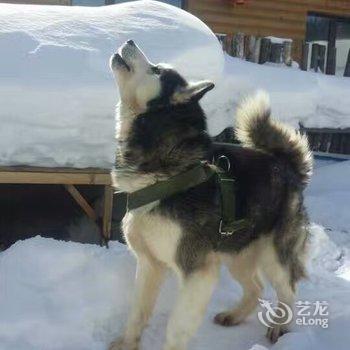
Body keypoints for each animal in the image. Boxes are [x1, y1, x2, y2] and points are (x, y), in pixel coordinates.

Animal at [109, 40, 312, 350]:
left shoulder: (198, 271)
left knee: (288, 289)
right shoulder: (149, 263)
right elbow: (137, 313)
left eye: (156, 70)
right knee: (256, 287)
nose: (131, 41)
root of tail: (285, 163)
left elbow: (177, 328)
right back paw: (235, 315)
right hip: (237, 253)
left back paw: (280, 329)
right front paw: (126, 344)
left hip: (273, 256)